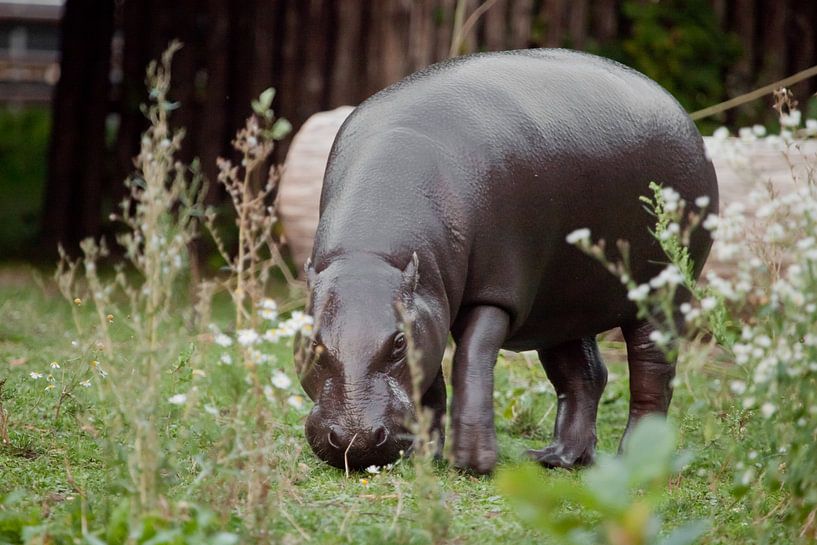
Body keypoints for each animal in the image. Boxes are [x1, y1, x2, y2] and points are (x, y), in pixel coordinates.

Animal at [294, 48, 718, 474]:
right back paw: (556, 458)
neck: (370, 256)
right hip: (561, 306)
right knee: (584, 376)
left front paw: (472, 461)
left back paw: (634, 462)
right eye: (312, 342)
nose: (357, 441)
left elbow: (470, 361)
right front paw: (427, 455)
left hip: (662, 293)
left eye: (398, 343)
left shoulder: (494, 293)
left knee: (652, 374)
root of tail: (683, 116)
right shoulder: (428, 306)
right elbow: (430, 382)